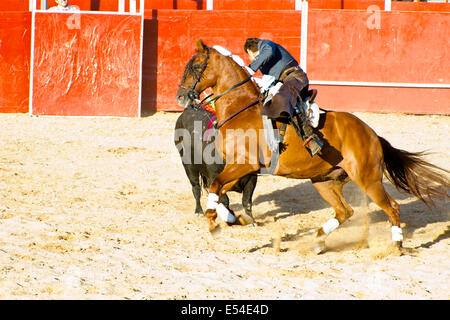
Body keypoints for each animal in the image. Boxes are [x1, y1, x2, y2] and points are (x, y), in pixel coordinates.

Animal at [176, 39, 446, 252]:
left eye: (196, 66)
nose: (180, 96)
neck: (241, 109)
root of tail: (371, 134)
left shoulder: (244, 166)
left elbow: (216, 189)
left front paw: (215, 222)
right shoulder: (237, 170)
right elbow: (217, 191)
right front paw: (231, 219)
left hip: (368, 179)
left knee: (392, 207)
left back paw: (395, 246)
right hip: (325, 181)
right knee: (345, 212)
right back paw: (317, 241)